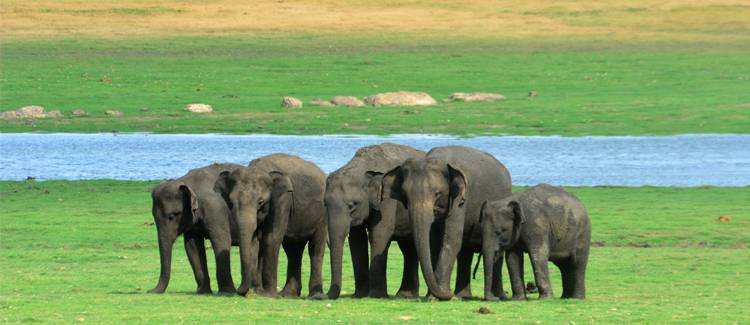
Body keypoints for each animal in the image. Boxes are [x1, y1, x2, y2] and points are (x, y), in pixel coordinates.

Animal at [147, 162, 241, 294]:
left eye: (172, 216)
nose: (150, 291)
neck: (186, 181)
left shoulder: (216, 210)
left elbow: (221, 240)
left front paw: (227, 292)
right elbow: (192, 246)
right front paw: (203, 292)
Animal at [214, 153, 326, 298]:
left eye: (260, 202)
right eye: (231, 203)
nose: (238, 290)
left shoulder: (283, 199)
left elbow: (271, 238)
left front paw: (268, 294)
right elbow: (254, 242)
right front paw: (257, 291)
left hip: (323, 215)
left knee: (315, 248)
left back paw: (315, 295)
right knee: (293, 250)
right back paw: (288, 294)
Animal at [326, 143, 426, 298]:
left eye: (351, 205)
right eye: (325, 205)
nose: (324, 295)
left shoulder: (387, 200)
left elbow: (379, 234)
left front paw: (376, 295)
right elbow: (357, 240)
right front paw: (359, 296)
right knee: (408, 248)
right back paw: (405, 295)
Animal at [384, 146, 516, 300]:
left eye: (437, 193)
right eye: (405, 195)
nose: (449, 294)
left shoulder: (460, 199)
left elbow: (451, 240)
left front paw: (436, 297)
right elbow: (433, 243)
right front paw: (433, 296)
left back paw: (498, 296)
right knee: (465, 252)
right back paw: (463, 296)